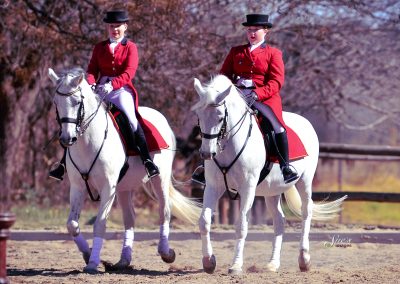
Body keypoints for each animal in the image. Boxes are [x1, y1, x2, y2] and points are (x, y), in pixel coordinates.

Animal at [48, 67, 202, 272]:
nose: (67, 139)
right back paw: (124, 260)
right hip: (123, 187)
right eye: (56, 103)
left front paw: (93, 263)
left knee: (164, 211)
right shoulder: (78, 186)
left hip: (158, 180)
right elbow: (72, 224)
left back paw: (166, 253)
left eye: (76, 102)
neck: (88, 142)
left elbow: (100, 224)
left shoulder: (108, 187)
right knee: (130, 218)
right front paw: (88, 255)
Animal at [191, 75, 346, 272]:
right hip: (272, 191)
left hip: (304, 181)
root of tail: (306, 122)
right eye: (199, 116)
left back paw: (304, 259)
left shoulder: (247, 187)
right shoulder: (213, 186)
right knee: (279, 221)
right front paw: (208, 261)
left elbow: (241, 225)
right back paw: (273, 264)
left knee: (306, 212)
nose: (206, 153)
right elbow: (204, 221)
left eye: (219, 117)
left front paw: (236, 265)